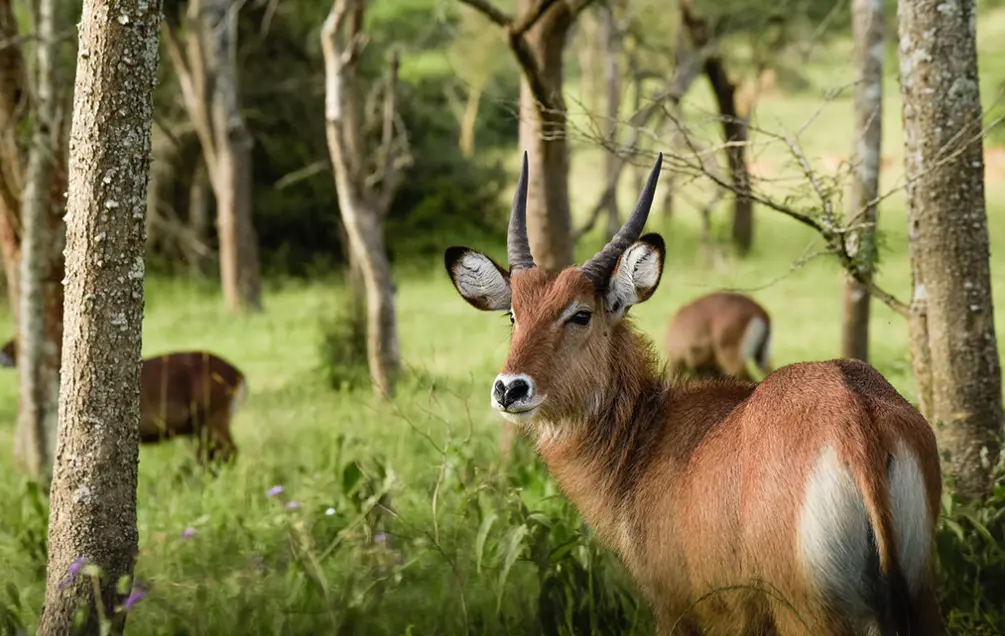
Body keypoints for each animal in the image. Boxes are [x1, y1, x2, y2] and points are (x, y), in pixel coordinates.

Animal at [1, 337, 247, 462]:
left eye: (19, 341)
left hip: (213, 417)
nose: (4, 350)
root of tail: (239, 375)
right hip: (198, 426)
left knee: (229, 451)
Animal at [444, 151, 944, 630]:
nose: (510, 389)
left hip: (809, 614)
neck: (645, 437)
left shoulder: (678, 610)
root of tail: (856, 419)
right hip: (919, 601)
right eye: (514, 314)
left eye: (580, 313)